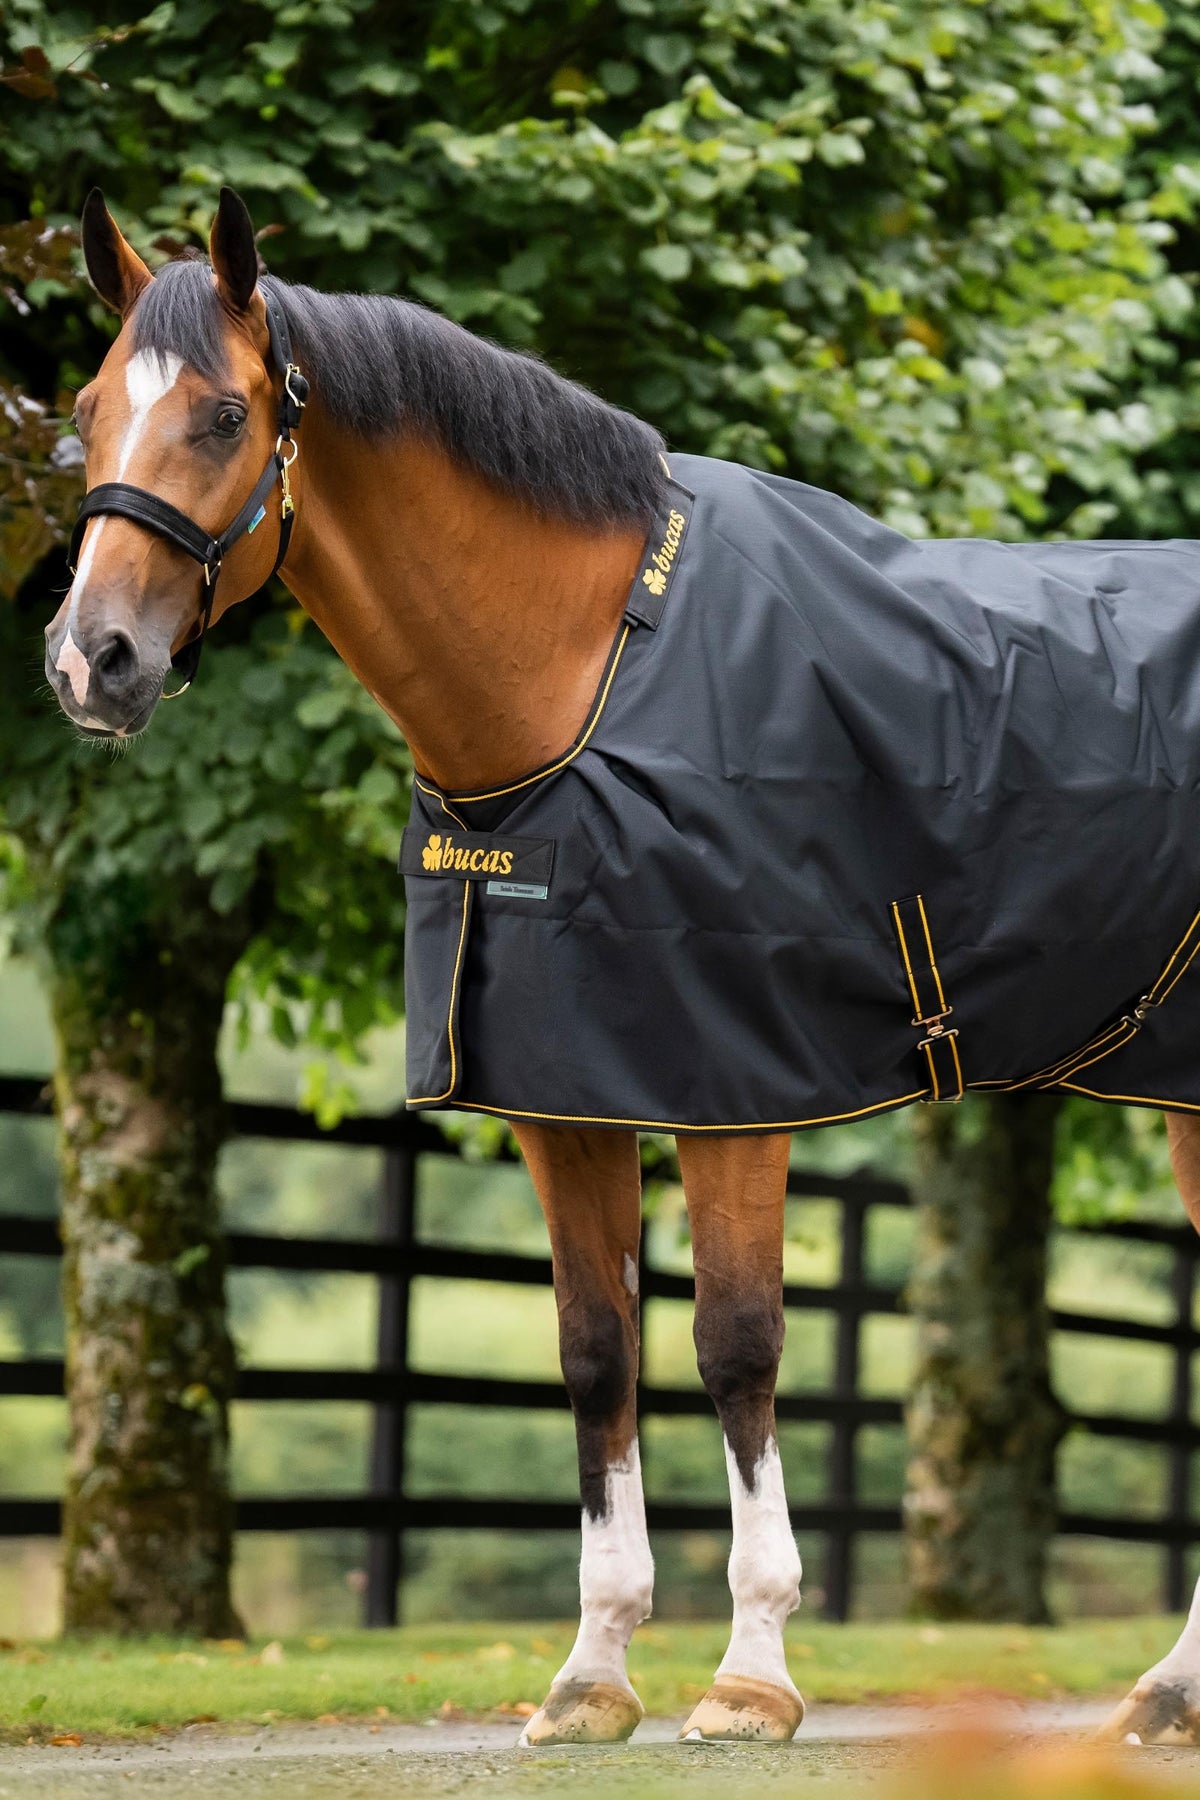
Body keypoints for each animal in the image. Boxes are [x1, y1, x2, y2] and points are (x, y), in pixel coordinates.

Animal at [42, 184, 1200, 1749]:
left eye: (225, 415)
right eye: (86, 411)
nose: (88, 659)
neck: (590, 673)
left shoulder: (740, 1084)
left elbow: (736, 1345)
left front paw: (753, 1677)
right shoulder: (561, 1090)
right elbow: (598, 1353)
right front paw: (591, 1678)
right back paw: (1169, 1693)